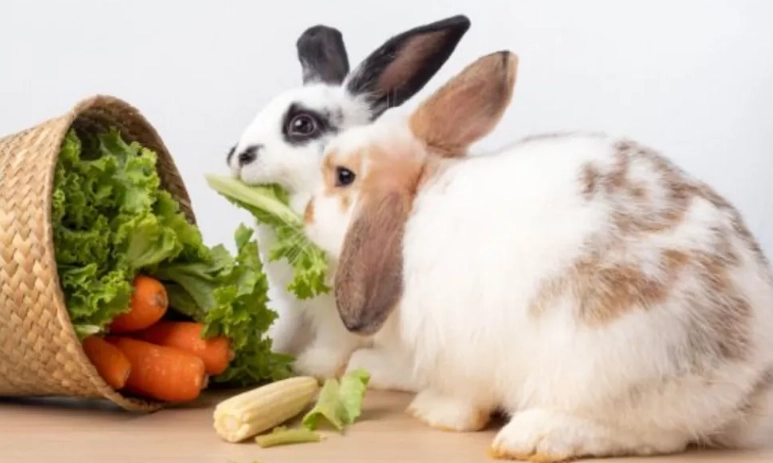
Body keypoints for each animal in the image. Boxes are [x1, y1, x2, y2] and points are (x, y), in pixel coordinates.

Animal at [226, 15, 471, 381]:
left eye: (302, 124)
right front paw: (275, 351)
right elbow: (286, 329)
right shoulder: (296, 306)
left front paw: (312, 366)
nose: (238, 157)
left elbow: (333, 341)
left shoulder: (338, 309)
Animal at [303, 49, 773, 461]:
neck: (416, 205)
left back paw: (534, 436)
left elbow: (463, 401)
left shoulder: (460, 357)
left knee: (655, 435)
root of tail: (753, 378)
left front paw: (434, 412)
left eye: (343, 176)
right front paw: (367, 365)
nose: (305, 214)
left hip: (609, 364)